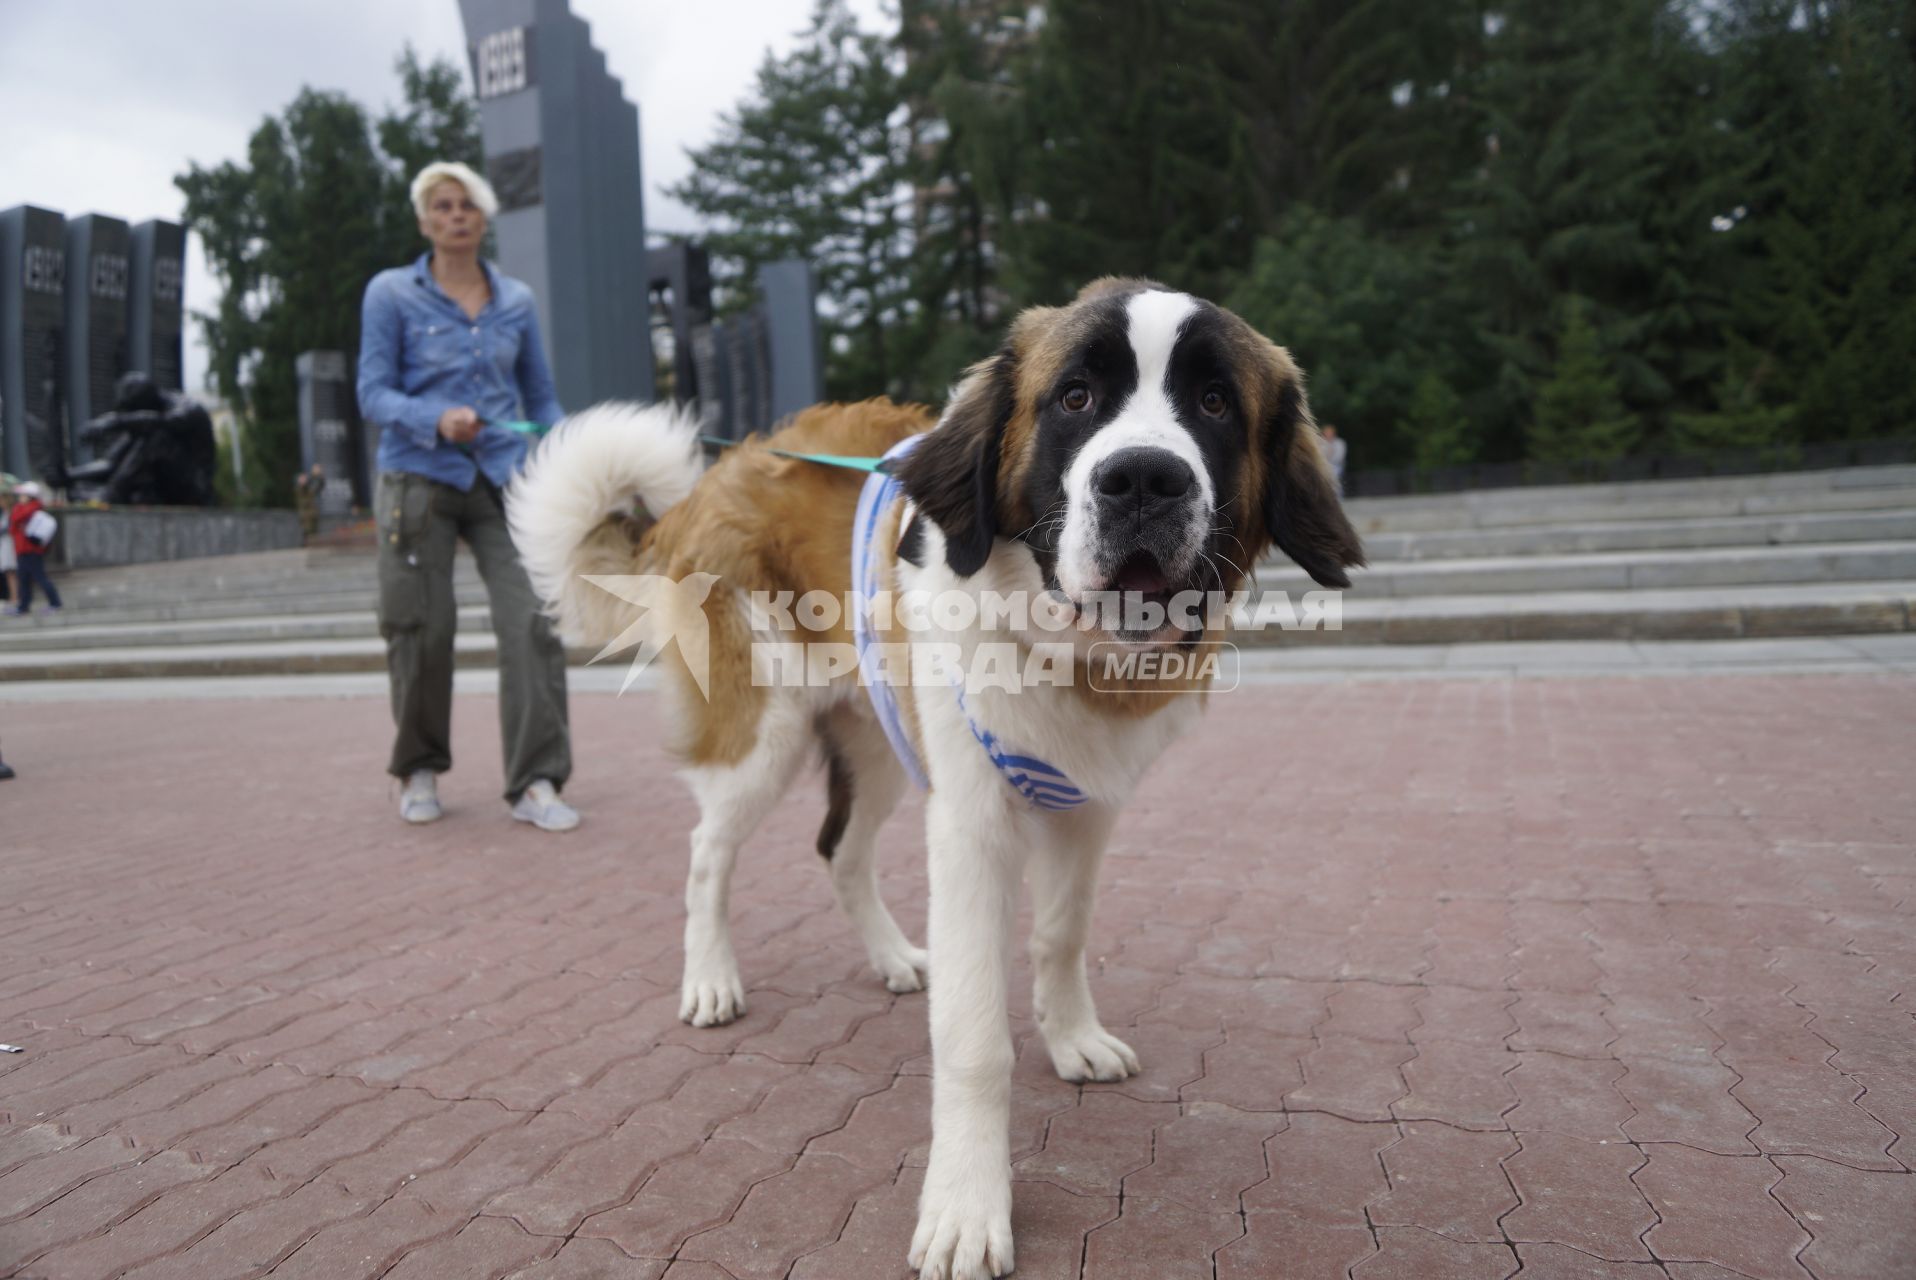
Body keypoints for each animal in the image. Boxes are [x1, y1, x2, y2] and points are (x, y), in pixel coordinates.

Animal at [513, 279, 1364, 1280]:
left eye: (1216, 403)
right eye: (1075, 398)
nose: (1144, 480)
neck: (1067, 650)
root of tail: (716, 477)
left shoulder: (1088, 808)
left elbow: (1061, 935)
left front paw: (1072, 1037)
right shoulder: (971, 826)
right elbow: (974, 1040)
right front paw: (967, 1206)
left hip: (881, 736)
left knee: (840, 850)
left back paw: (891, 957)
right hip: (765, 735)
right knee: (706, 855)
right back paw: (712, 979)